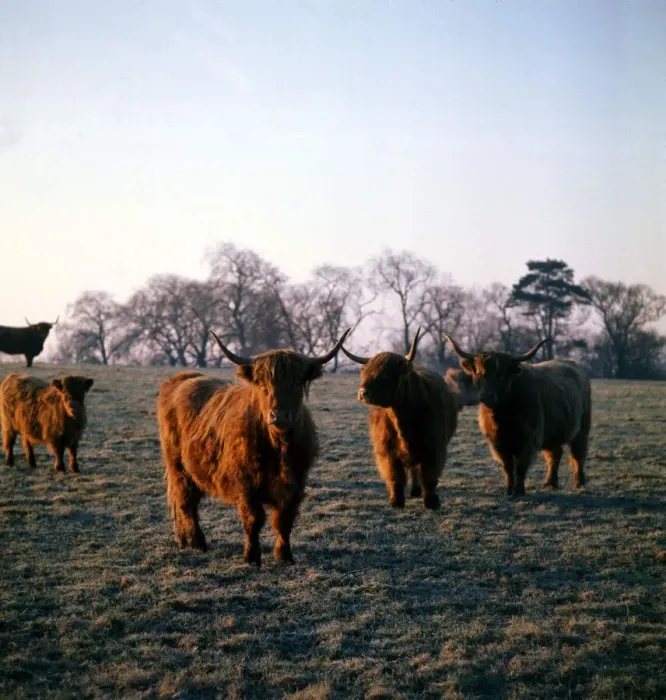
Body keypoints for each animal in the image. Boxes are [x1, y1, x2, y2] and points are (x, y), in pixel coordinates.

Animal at [156, 328, 351, 568]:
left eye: (296, 381)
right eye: (263, 383)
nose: (278, 415)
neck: (279, 448)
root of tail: (183, 378)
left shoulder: (296, 484)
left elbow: (284, 520)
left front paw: (284, 555)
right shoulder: (246, 484)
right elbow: (253, 519)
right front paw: (251, 557)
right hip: (178, 468)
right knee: (186, 503)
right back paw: (197, 542)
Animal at [341, 328, 459, 510]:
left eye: (386, 374)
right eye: (364, 372)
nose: (363, 393)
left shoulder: (434, 447)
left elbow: (429, 476)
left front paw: (432, 502)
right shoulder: (387, 450)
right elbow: (395, 476)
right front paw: (396, 501)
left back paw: (417, 491)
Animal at [444, 335, 591, 496]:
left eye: (501, 375)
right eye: (478, 373)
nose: (487, 396)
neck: (502, 418)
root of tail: (576, 367)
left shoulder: (529, 438)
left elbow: (520, 466)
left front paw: (519, 491)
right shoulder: (497, 443)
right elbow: (508, 466)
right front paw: (509, 490)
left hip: (582, 428)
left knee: (578, 454)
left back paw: (579, 482)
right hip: (553, 432)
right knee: (554, 454)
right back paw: (549, 483)